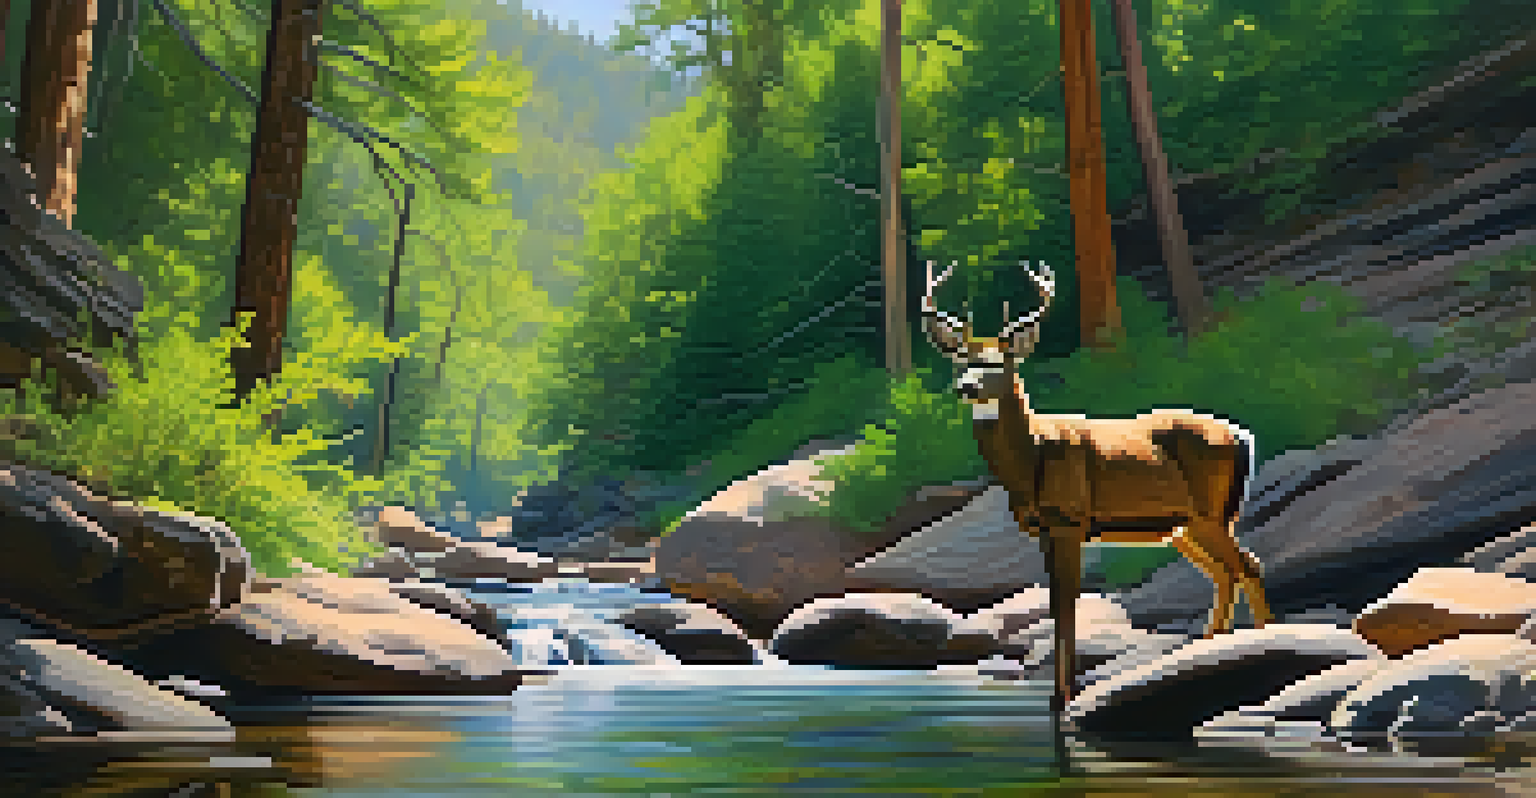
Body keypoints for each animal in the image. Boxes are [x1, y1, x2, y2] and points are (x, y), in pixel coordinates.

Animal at [921, 259, 1273, 712]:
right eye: (960, 360)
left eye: (1000, 363)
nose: (966, 387)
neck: (1032, 458)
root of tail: (1241, 435)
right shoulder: (1046, 529)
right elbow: (1056, 604)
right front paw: (1057, 696)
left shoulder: (1069, 519)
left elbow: (1067, 603)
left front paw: (1063, 696)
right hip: (1185, 524)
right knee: (1226, 572)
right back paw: (1213, 645)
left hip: (1210, 512)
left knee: (1248, 565)